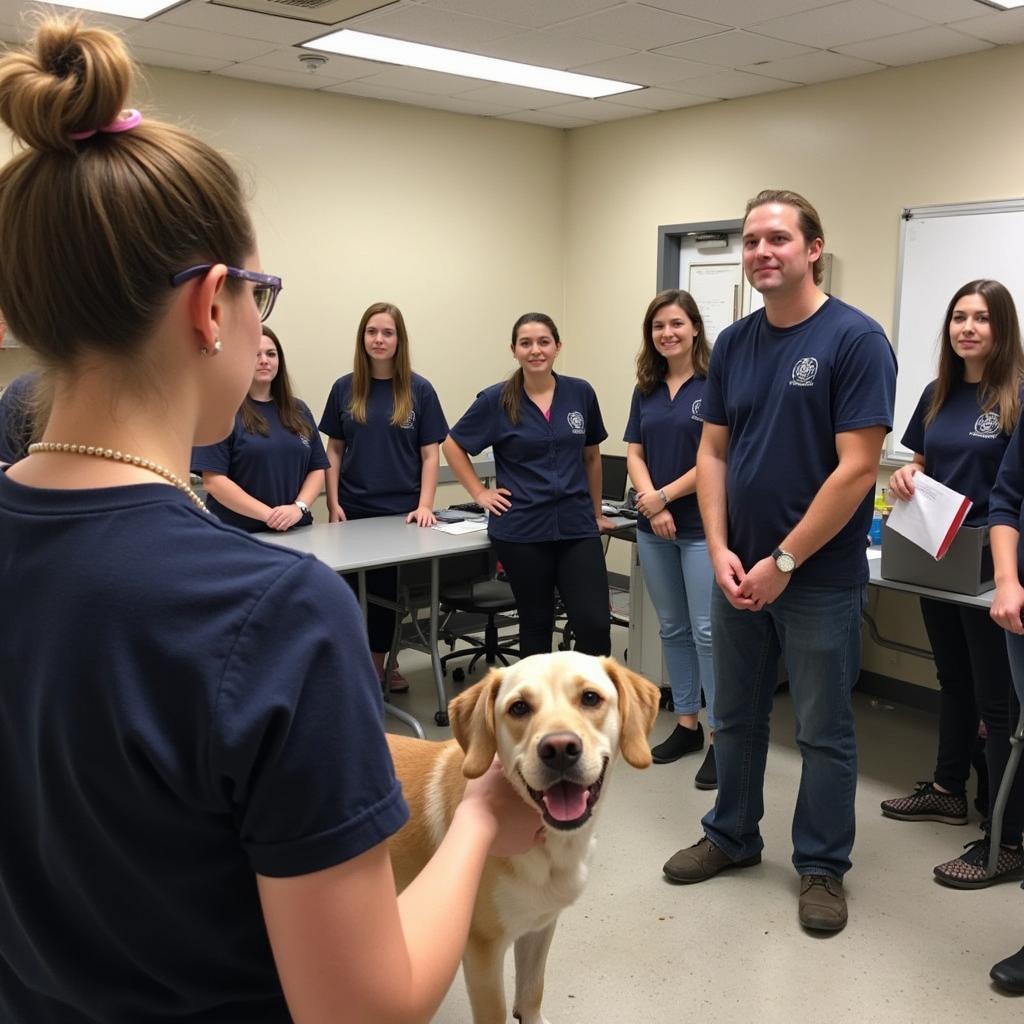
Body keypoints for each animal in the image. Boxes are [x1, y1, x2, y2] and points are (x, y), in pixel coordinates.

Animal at [387, 655, 659, 1024]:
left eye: (590, 698)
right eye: (519, 707)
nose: (559, 749)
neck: (551, 849)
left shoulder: (539, 927)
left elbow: (532, 990)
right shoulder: (481, 951)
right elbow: (497, 1011)